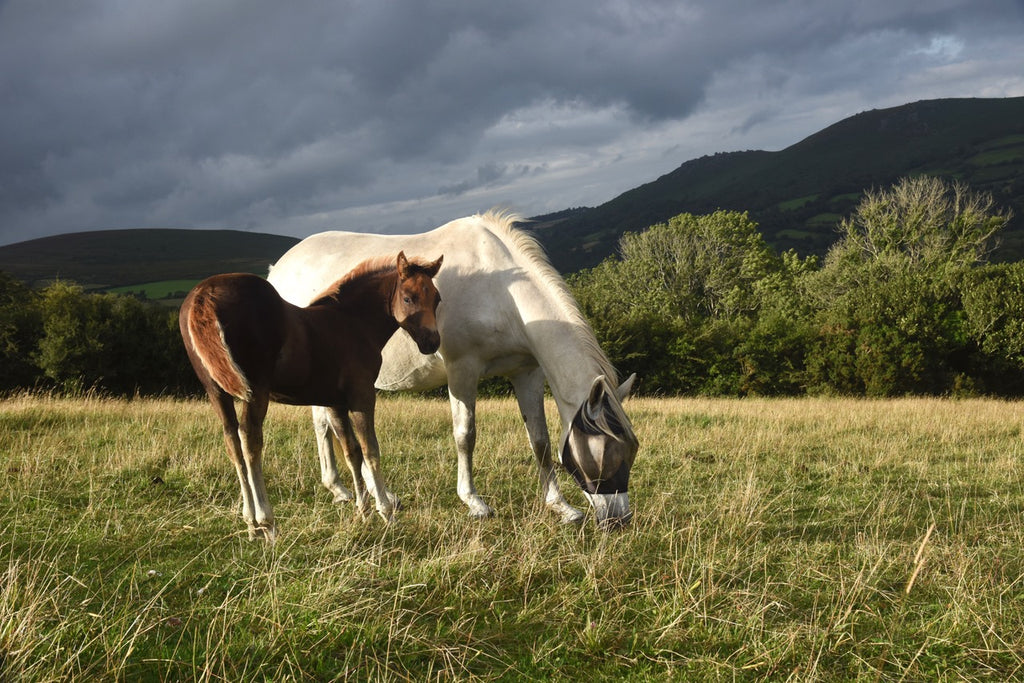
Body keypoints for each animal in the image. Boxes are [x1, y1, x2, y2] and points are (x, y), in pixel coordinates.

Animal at [179, 251, 443, 540]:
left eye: (437, 299)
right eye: (408, 298)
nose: (432, 343)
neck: (353, 322)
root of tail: (204, 293)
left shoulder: (335, 403)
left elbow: (352, 452)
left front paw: (363, 513)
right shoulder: (362, 395)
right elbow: (370, 449)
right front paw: (386, 513)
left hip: (216, 391)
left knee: (232, 441)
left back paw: (250, 524)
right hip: (254, 390)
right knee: (250, 439)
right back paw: (266, 522)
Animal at [267, 211, 638, 529]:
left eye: (631, 450)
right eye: (606, 453)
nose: (619, 520)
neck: (501, 290)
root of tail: (277, 269)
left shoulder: (527, 373)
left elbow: (540, 441)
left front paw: (560, 506)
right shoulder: (463, 370)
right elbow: (465, 436)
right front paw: (474, 502)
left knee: (324, 424)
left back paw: (357, 492)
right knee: (328, 425)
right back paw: (352, 491)